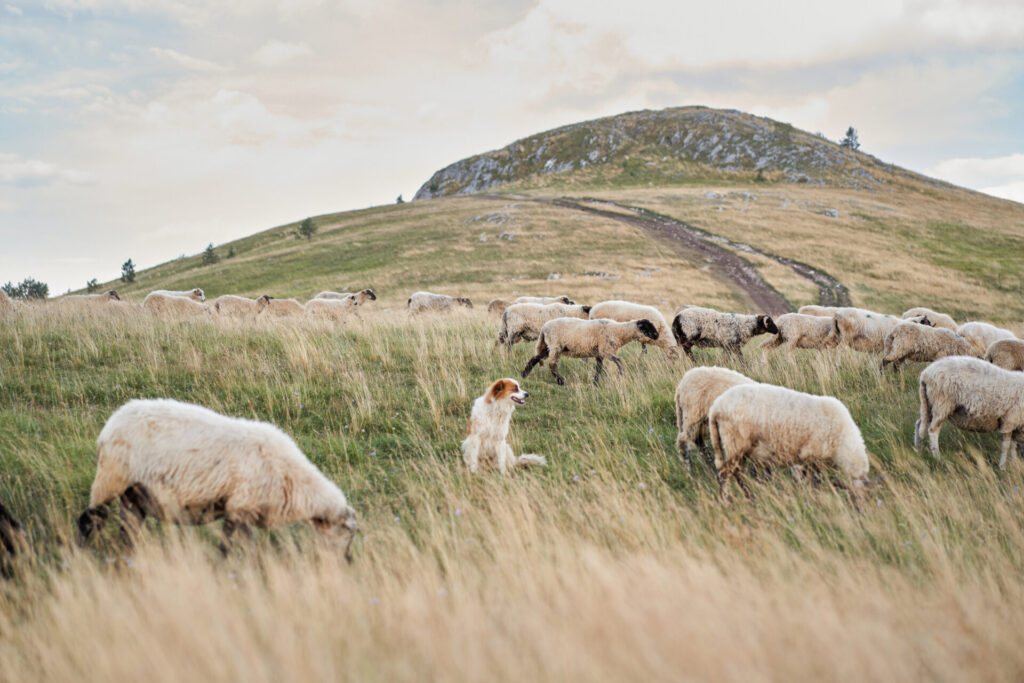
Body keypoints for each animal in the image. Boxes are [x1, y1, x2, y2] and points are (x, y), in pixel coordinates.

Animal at [75, 397, 358, 557]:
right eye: (348, 535)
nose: (347, 561)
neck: (296, 481)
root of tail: (110, 424)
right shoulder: (241, 508)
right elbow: (236, 550)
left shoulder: (238, 511)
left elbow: (233, 548)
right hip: (111, 478)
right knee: (88, 521)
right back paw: (79, 558)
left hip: (134, 496)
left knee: (128, 532)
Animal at [524, 319, 659, 387]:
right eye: (647, 327)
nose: (657, 335)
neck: (619, 331)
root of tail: (544, 327)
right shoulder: (606, 350)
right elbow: (619, 360)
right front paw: (621, 374)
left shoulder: (599, 353)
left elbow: (599, 367)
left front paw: (595, 382)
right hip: (555, 345)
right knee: (552, 364)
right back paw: (561, 381)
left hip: (548, 346)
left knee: (535, 358)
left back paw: (524, 374)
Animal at [708, 382, 868, 499]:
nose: (861, 514)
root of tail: (716, 406)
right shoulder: (811, 455)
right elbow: (813, 481)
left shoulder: (807, 460)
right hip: (735, 442)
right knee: (724, 475)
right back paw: (727, 502)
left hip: (739, 448)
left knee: (738, 473)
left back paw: (751, 498)